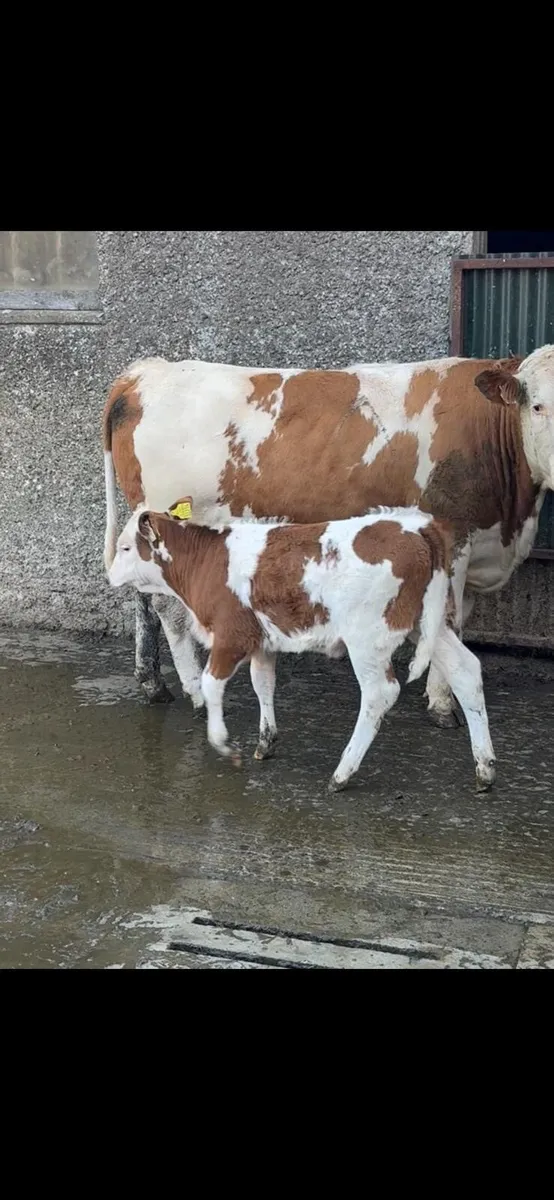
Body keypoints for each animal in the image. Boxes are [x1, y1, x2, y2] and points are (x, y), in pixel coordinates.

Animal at [102, 346, 554, 727]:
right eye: (537, 406)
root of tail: (145, 372)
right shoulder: (453, 539)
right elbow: (448, 621)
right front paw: (443, 705)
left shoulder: (478, 546)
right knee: (169, 608)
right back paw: (196, 692)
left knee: (144, 597)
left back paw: (152, 683)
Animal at [107, 503, 497, 794]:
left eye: (126, 548)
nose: (108, 575)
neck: (207, 559)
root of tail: (416, 526)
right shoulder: (262, 642)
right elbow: (262, 683)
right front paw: (266, 742)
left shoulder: (232, 634)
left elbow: (211, 684)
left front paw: (223, 743)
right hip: (429, 624)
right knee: (465, 672)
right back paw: (485, 769)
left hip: (367, 637)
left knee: (379, 693)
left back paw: (342, 773)